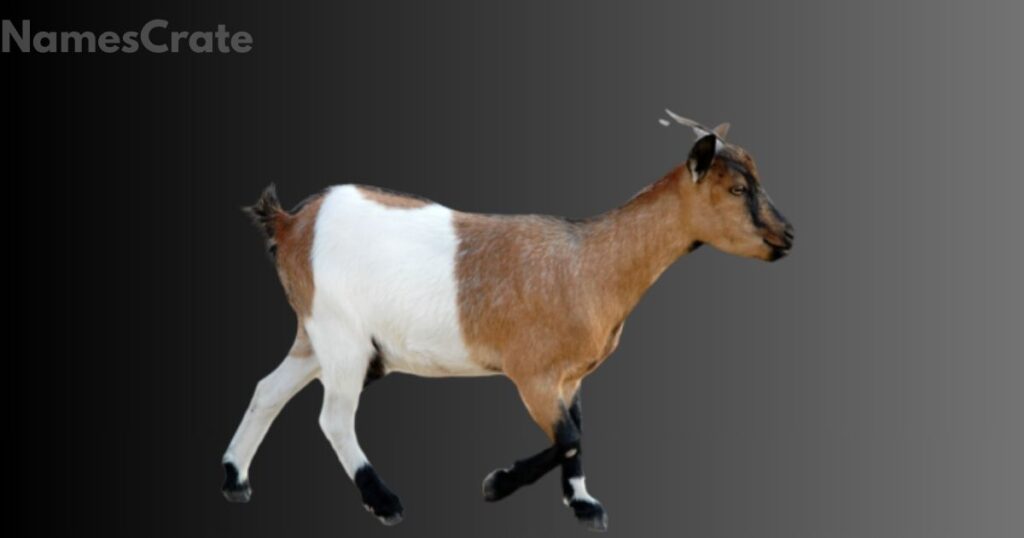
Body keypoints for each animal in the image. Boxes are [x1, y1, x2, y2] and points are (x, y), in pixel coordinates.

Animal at [221, 113, 794, 531]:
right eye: (737, 190)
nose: (787, 236)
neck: (589, 264)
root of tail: (292, 223)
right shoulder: (532, 375)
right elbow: (569, 436)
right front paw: (497, 483)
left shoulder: (570, 377)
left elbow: (577, 432)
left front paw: (583, 502)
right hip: (342, 335)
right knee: (334, 417)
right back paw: (384, 501)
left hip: (315, 332)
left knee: (268, 390)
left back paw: (235, 480)